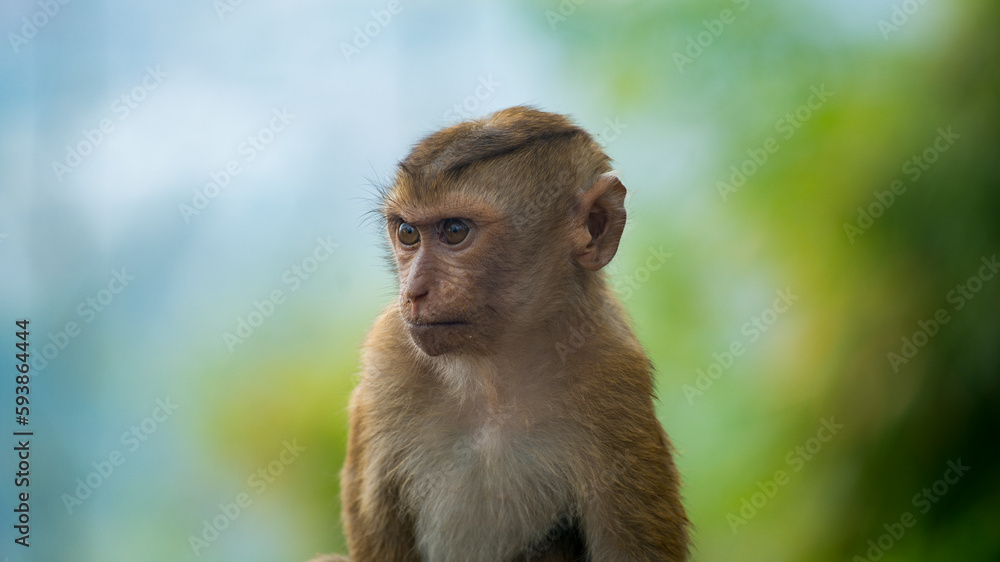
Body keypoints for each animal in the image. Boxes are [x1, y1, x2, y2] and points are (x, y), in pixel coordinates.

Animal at [312, 106, 690, 562]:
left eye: (455, 231)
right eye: (407, 233)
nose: (413, 292)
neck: (492, 377)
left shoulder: (615, 378)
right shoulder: (388, 354)